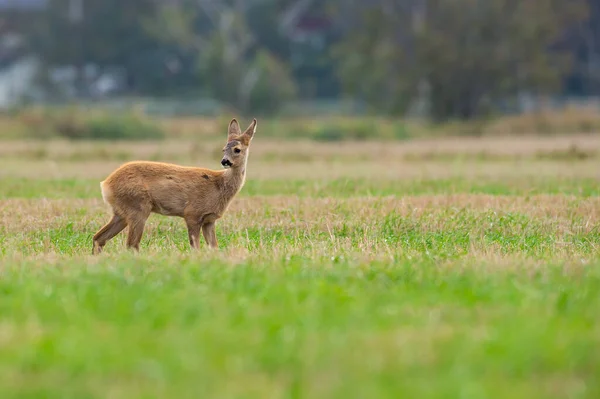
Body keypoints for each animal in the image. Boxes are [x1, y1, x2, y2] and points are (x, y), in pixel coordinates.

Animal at [92, 117, 256, 255]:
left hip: (121, 212)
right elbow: (195, 247)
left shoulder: (209, 219)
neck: (219, 185)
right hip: (138, 207)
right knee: (132, 244)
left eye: (237, 149)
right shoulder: (192, 213)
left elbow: (214, 246)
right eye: (224, 149)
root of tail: (106, 184)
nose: (225, 161)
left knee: (99, 237)